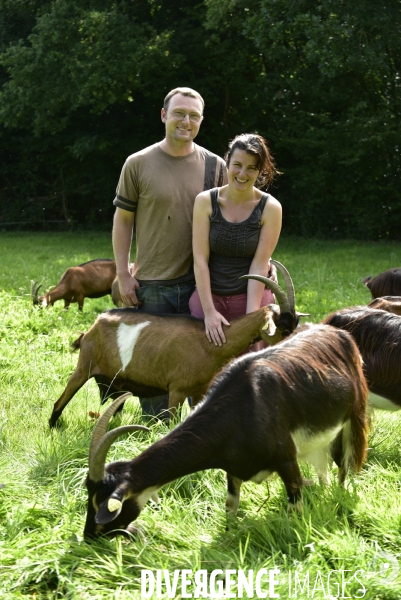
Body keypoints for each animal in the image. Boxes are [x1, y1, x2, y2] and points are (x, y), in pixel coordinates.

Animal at [48, 262, 302, 426]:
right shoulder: (176, 391)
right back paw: (54, 427)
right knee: (59, 402)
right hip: (84, 367)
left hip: (116, 382)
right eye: (284, 327)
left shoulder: (199, 392)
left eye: (296, 323)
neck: (210, 342)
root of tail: (90, 330)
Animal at [83, 326, 368, 540]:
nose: (89, 536)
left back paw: (339, 497)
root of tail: (339, 333)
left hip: (353, 418)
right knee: (323, 469)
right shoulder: (233, 465)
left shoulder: (287, 459)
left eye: (102, 503)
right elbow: (231, 506)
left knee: (343, 465)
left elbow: (294, 504)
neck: (242, 409)